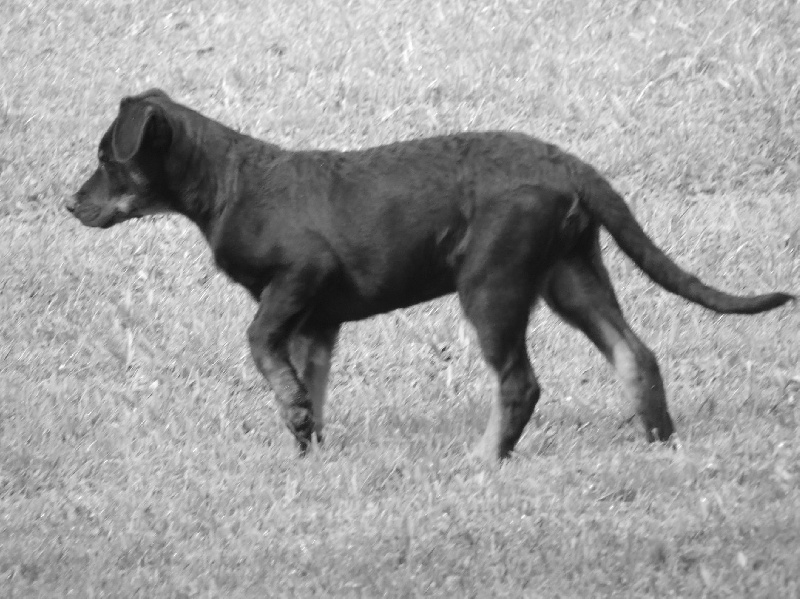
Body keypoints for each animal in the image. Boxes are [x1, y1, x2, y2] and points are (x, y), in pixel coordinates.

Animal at [69, 91, 792, 462]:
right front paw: (307, 441)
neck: (227, 185)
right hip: (571, 277)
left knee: (521, 383)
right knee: (635, 353)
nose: (71, 205)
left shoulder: (297, 279)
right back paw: (658, 440)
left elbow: (258, 345)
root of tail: (568, 164)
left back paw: (484, 460)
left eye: (108, 157)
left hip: (493, 287)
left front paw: (295, 417)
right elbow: (310, 382)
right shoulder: (316, 320)